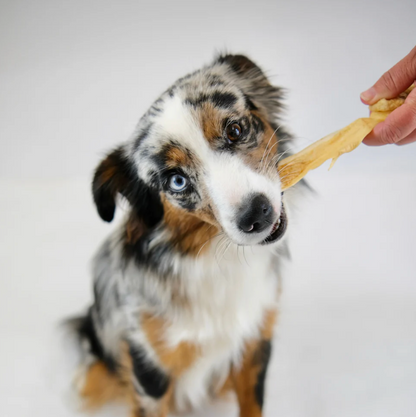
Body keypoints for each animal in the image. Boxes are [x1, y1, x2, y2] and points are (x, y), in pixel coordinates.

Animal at [66, 55, 298, 416]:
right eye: (177, 180)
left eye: (235, 130)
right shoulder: (150, 367)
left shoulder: (255, 342)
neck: (216, 256)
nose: (256, 215)